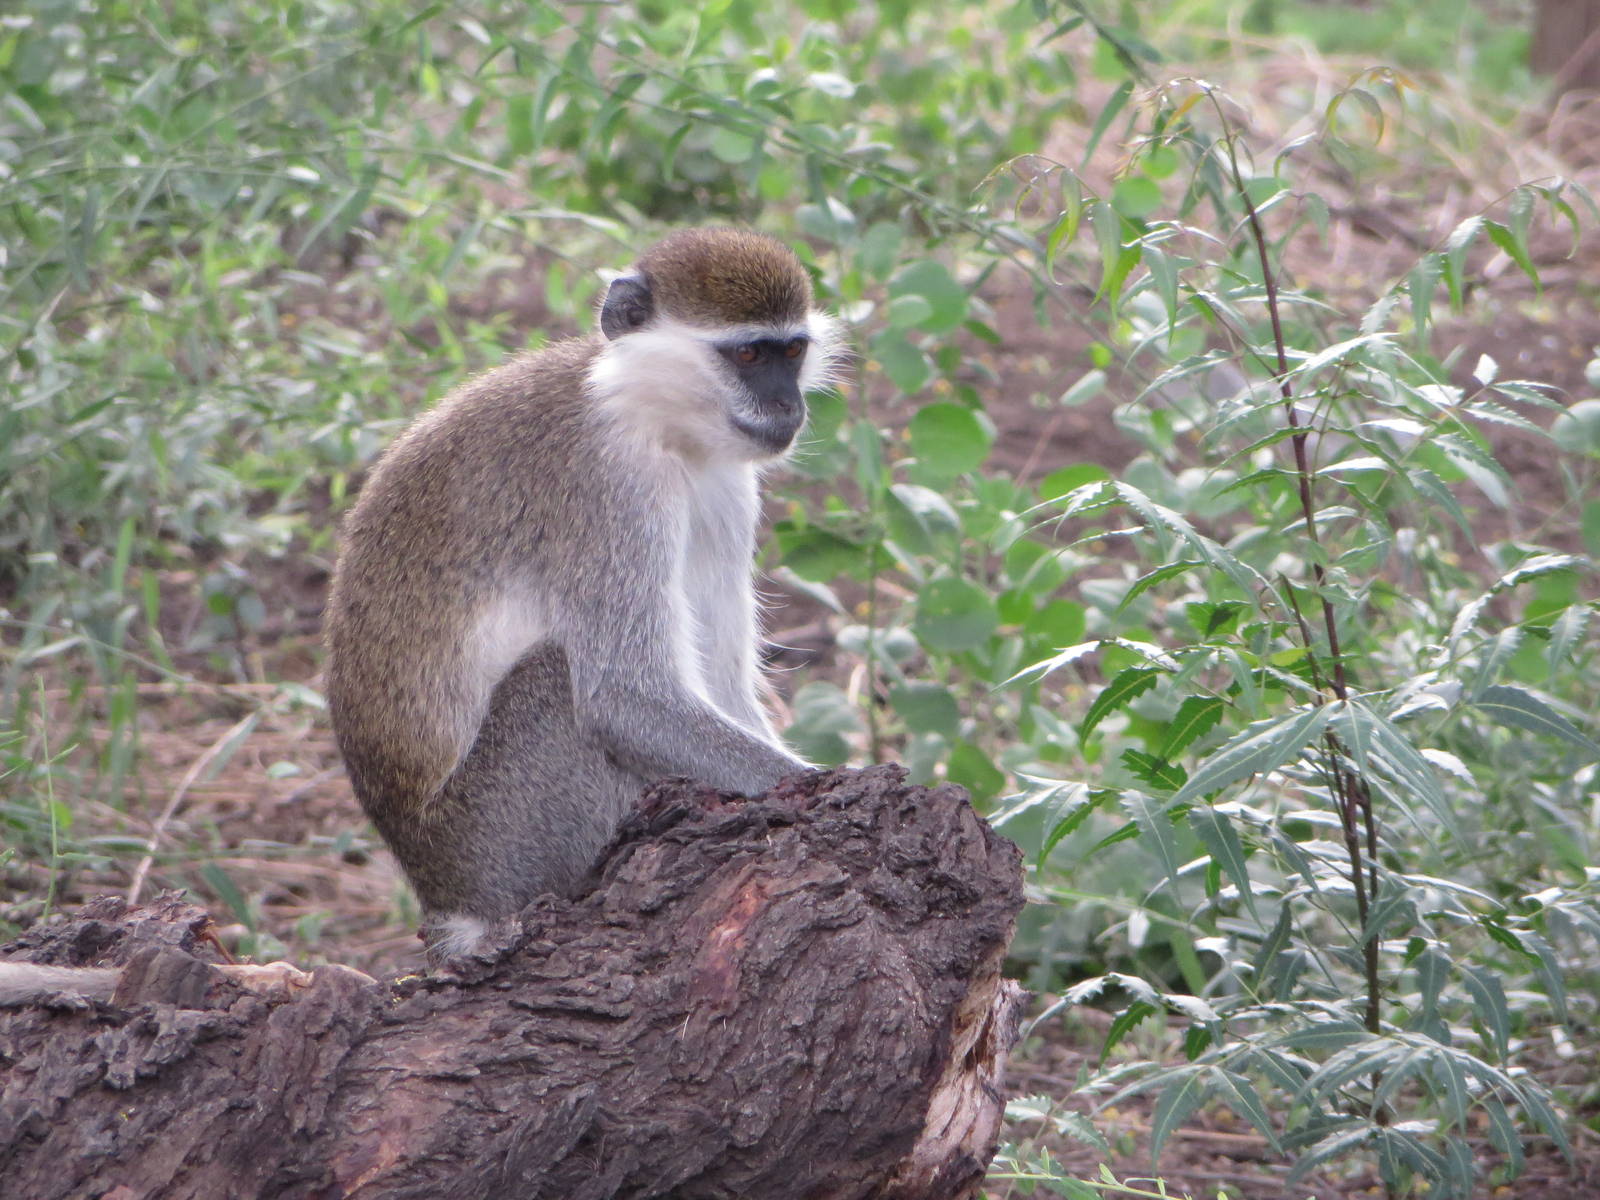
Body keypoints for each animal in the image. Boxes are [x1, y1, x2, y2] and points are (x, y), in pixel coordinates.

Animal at [323, 228, 843, 961]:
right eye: (746, 354)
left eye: (791, 351)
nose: (788, 407)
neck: (646, 413)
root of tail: (446, 892)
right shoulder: (607, 485)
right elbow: (624, 697)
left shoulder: (728, 488)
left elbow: (721, 685)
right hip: (507, 832)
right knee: (554, 679)